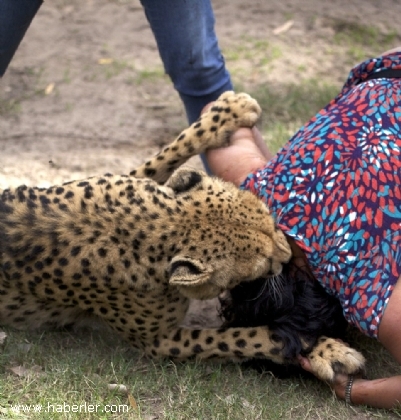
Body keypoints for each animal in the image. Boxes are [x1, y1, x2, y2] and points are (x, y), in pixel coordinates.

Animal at [0, 92, 362, 384]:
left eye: (269, 219)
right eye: (262, 263)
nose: (288, 255)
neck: (155, 226)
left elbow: (166, 154)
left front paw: (227, 113)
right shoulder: (159, 342)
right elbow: (245, 336)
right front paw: (324, 350)